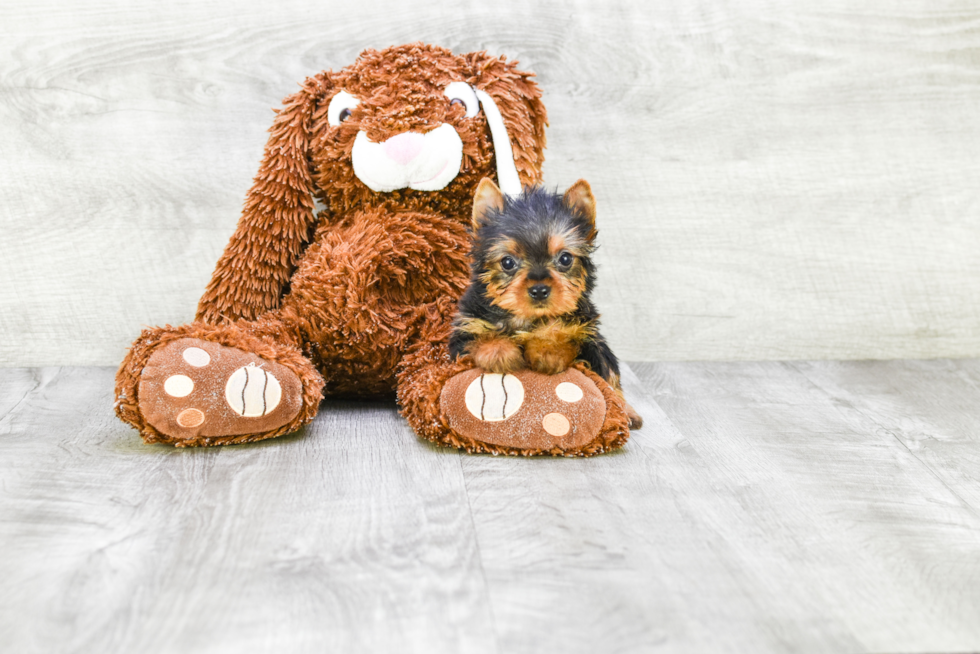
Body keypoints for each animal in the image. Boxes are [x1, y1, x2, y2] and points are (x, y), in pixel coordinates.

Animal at [452, 179, 644, 430]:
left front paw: (548, 347)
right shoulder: (466, 327)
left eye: (565, 259)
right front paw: (499, 351)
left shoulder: (588, 334)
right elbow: (478, 339)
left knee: (611, 377)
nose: (539, 290)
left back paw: (627, 412)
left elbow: (573, 343)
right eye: (507, 262)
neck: (528, 318)